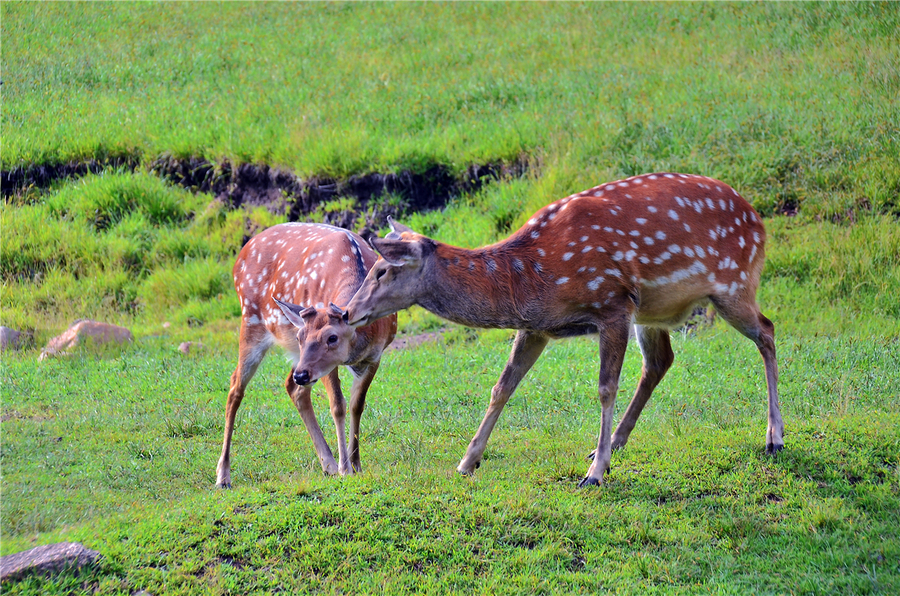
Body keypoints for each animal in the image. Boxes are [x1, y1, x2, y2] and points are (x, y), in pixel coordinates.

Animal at [214, 221, 398, 486]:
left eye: (332, 337)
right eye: (301, 337)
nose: (302, 374)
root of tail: (240, 254)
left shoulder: (375, 356)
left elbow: (357, 405)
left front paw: (356, 464)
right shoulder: (327, 366)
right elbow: (338, 406)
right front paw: (345, 468)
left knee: (293, 388)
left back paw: (327, 463)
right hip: (251, 321)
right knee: (235, 386)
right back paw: (223, 475)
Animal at [348, 173, 784, 488]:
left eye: (383, 269)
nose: (348, 310)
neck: (529, 279)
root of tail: (759, 220)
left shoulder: (613, 304)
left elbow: (606, 387)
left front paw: (594, 476)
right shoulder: (537, 326)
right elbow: (502, 386)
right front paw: (467, 461)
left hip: (733, 283)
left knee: (767, 330)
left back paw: (774, 437)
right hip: (654, 312)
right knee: (660, 361)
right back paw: (615, 444)